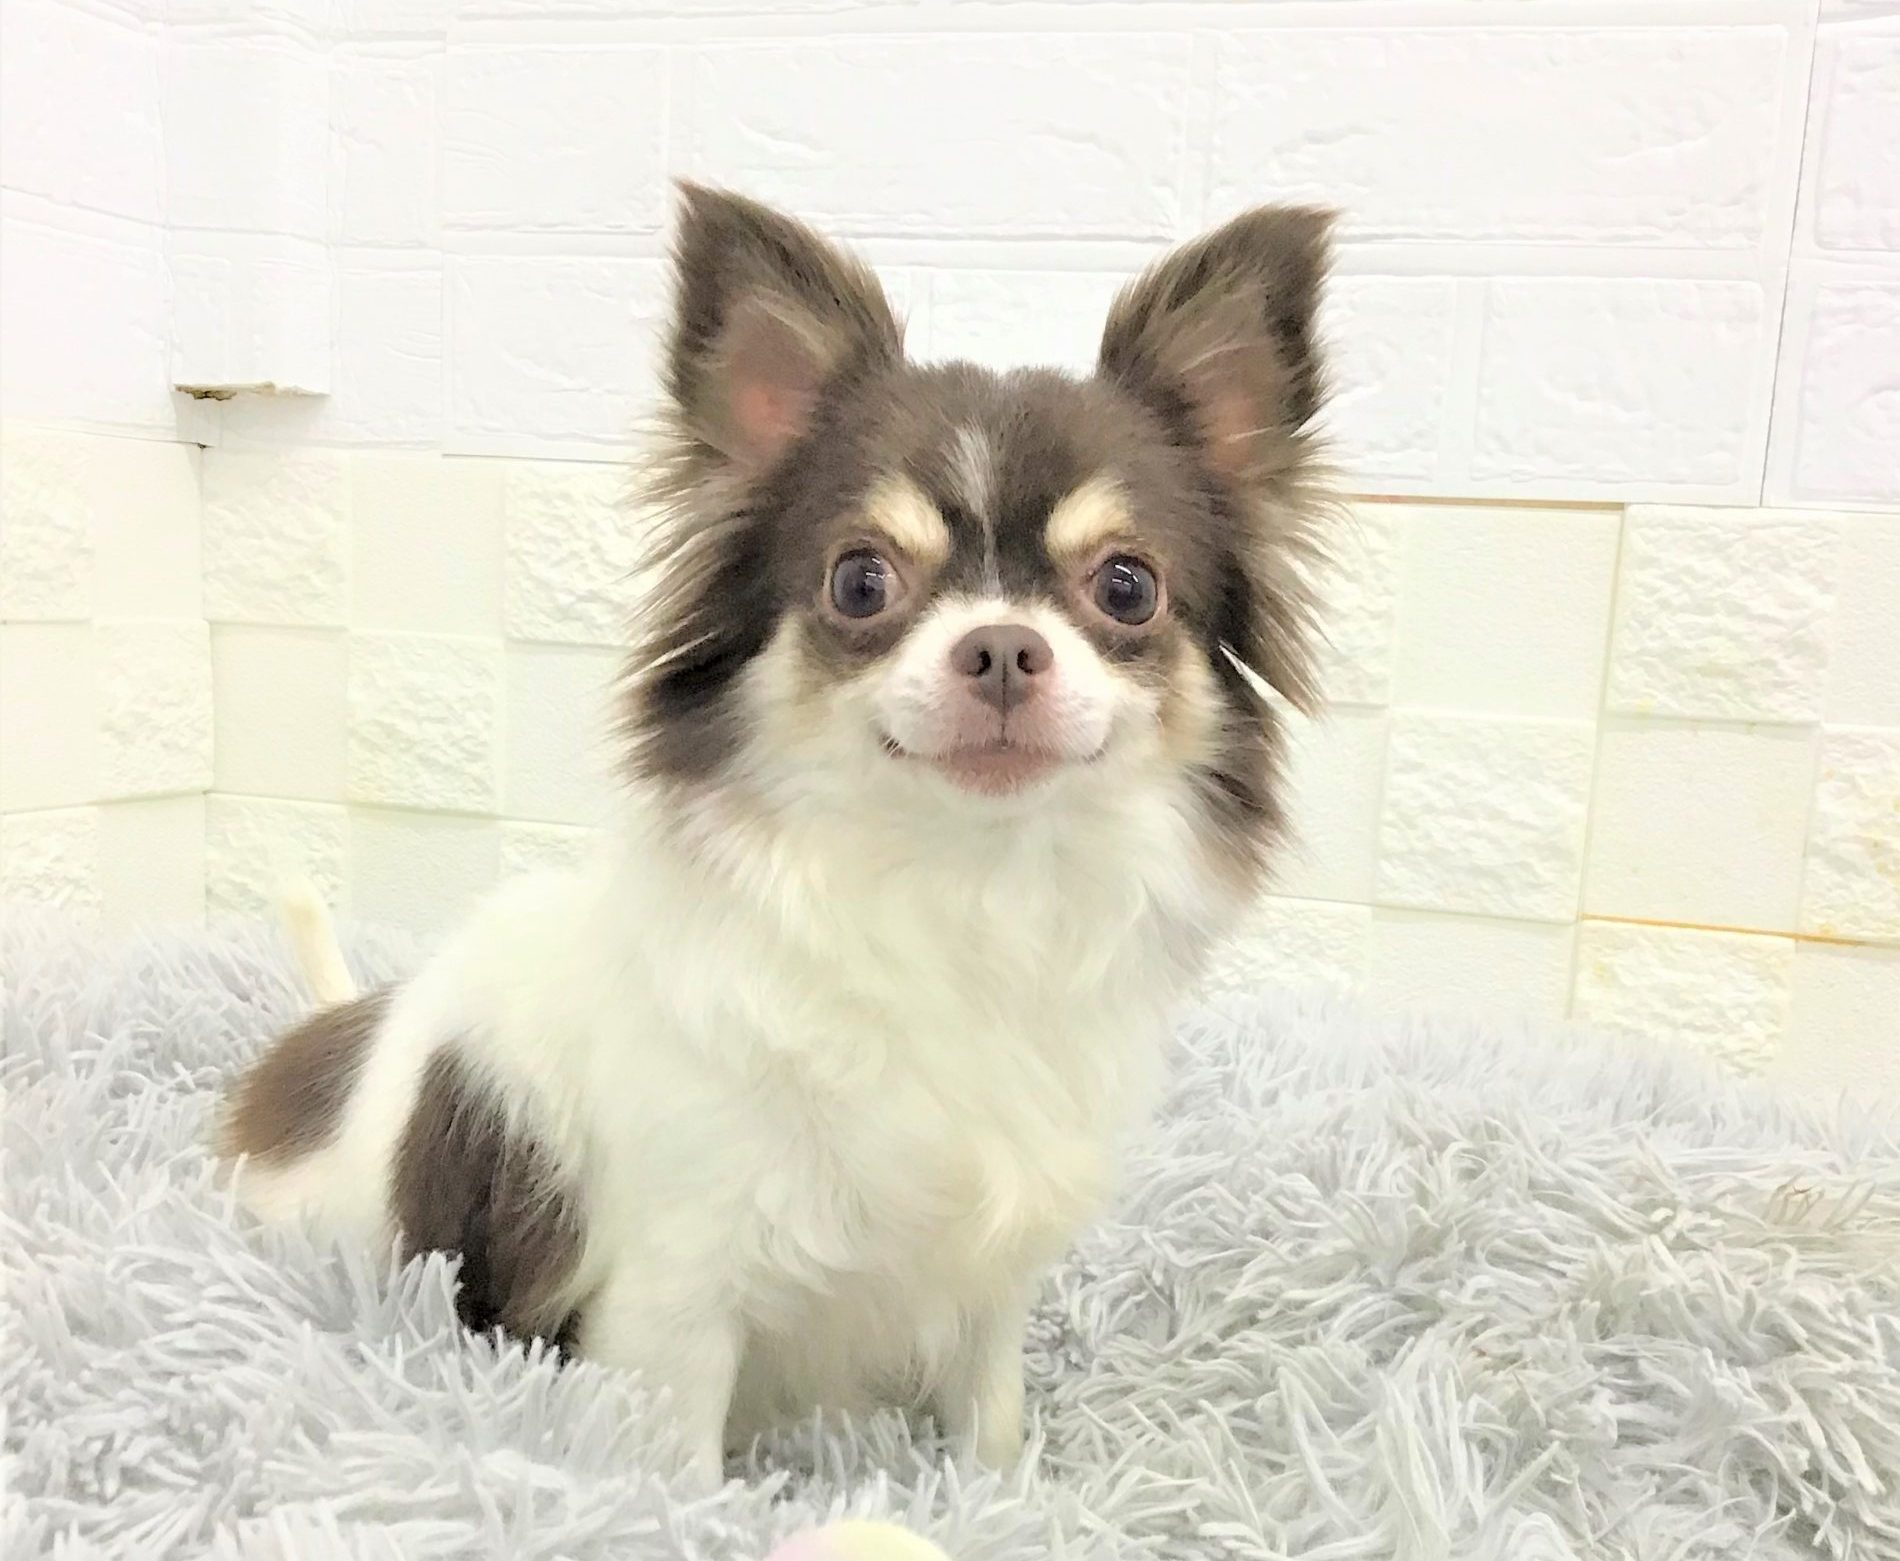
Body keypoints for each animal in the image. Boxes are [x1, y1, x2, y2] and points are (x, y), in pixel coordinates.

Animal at [221, 184, 1334, 1481]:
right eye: (860, 581)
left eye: (1125, 587)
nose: (1003, 644)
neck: (962, 891)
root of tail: (323, 1046)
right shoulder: (676, 1296)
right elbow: (672, 1467)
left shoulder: (986, 1278)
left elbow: (991, 1411)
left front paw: (1001, 1491)